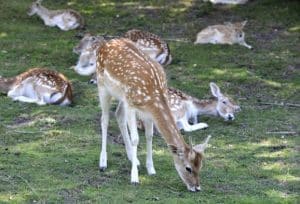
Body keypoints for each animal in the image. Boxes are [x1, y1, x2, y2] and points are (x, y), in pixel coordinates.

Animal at [96, 37, 211, 191]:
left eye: (201, 166)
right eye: (188, 168)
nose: (197, 187)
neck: (153, 97)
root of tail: (106, 43)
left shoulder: (147, 111)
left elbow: (149, 136)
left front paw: (151, 169)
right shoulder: (132, 105)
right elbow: (136, 139)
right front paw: (134, 178)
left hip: (121, 96)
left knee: (118, 115)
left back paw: (133, 159)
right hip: (102, 85)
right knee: (104, 119)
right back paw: (103, 162)